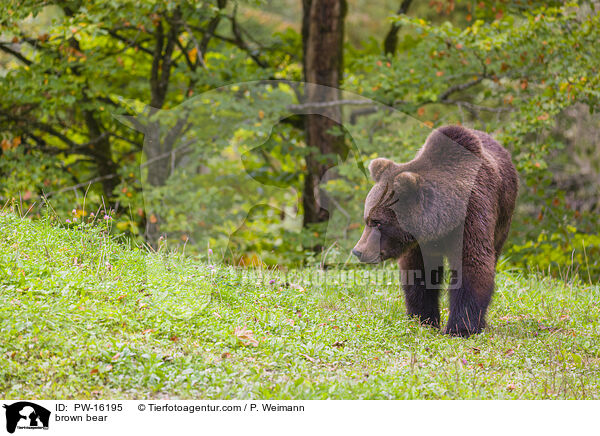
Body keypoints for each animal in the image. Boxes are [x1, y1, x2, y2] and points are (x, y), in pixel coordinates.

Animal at [354, 126, 516, 338]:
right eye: (367, 219)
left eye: (378, 222)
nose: (358, 251)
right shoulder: (418, 242)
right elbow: (418, 273)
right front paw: (423, 318)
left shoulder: (471, 216)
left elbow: (472, 265)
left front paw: (460, 327)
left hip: (503, 218)